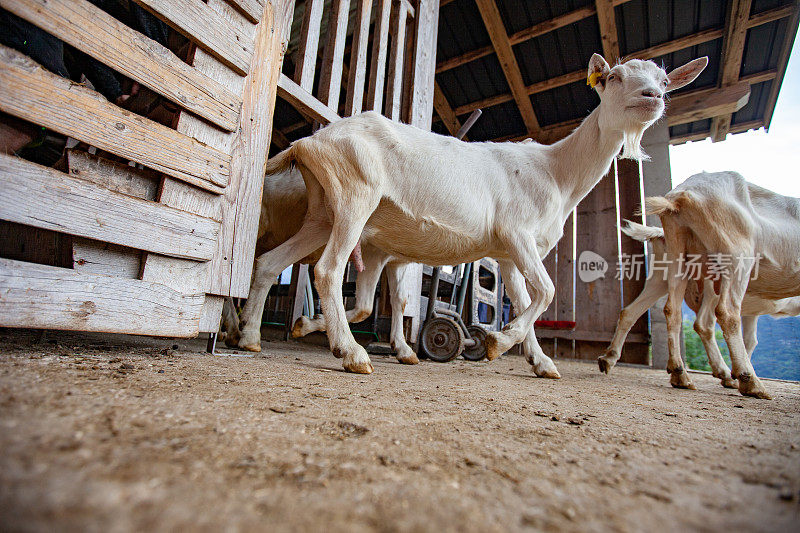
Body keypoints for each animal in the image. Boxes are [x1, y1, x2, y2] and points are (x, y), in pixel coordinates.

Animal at [222, 168, 416, 364]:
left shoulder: (398, 261)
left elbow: (399, 301)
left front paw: (403, 348)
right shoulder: (374, 253)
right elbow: (365, 308)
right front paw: (308, 325)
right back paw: (234, 329)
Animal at [600, 218, 800, 384]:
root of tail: (661, 232)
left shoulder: (752, 312)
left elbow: (750, 339)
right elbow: (747, 338)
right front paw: (741, 374)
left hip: (662, 276)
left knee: (631, 311)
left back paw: (608, 359)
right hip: (711, 282)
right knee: (704, 323)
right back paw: (717, 374)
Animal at [648, 172, 800, 396]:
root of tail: (680, 196)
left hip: (679, 252)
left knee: (672, 309)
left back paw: (680, 375)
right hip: (737, 256)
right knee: (726, 313)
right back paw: (749, 381)